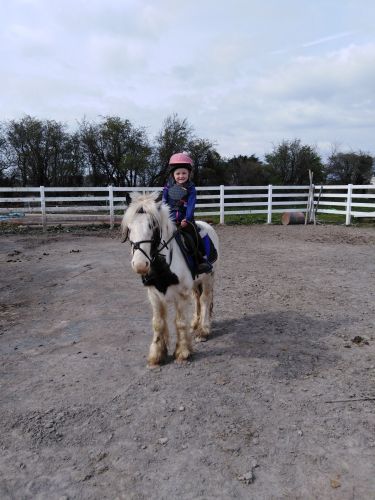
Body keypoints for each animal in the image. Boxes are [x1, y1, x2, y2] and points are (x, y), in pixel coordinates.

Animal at [122, 191, 219, 368]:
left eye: (152, 226)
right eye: (129, 228)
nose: (140, 265)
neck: (163, 265)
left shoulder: (180, 294)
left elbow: (180, 322)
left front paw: (182, 353)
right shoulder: (153, 295)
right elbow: (158, 323)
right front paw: (156, 355)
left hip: (209, 277)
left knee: (205, 299)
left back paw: (203, 330)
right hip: (196, 282)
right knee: (197, 298)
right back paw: (195, 323)